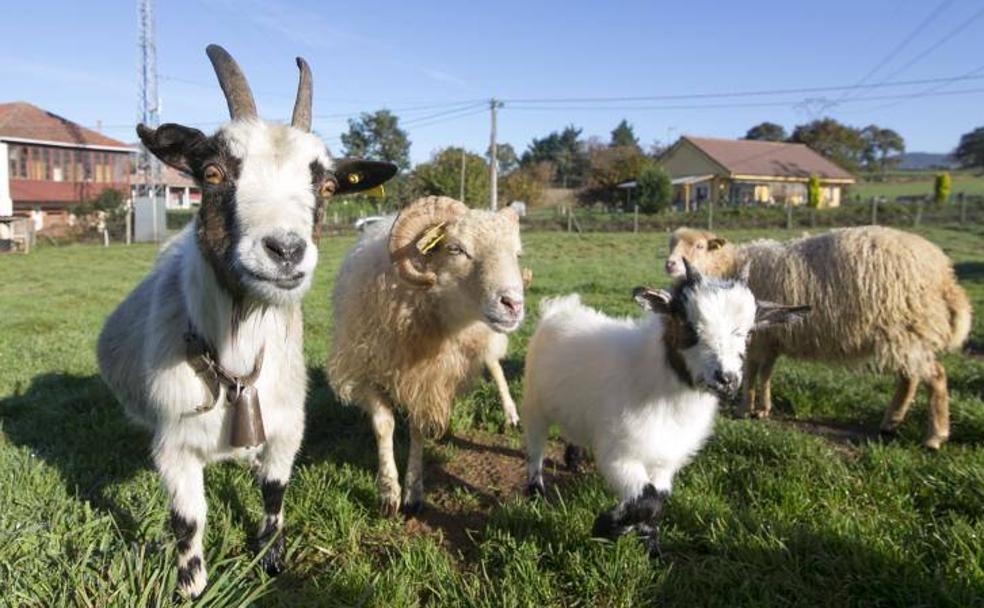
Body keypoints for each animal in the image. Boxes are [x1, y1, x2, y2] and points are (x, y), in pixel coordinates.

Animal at [524, 262, 808, 556]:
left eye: (749, 332)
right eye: (688, 326)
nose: (727, 379)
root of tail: (559, 308)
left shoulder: (665, 459)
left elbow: (657, 500)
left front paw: (650, 547)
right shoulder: (620, 456)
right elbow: (646, 499)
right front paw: (606, 527)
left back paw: (575, 460)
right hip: (534, 403)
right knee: (536, 447)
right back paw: (536, 491)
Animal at [664, 226, 972, 448]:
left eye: (699, 246)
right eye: (671, 244)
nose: (670, 264)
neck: (728, 268)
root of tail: (945, 274)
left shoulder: (756, 337)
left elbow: (751, 371)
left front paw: (743, 408)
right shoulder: (773, 337)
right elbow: (765, 373)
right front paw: (762, 409)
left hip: (905, 329)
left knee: (935, 376)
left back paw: (935, 436)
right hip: (907, 333)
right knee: (911, 377)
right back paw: (891, 423)